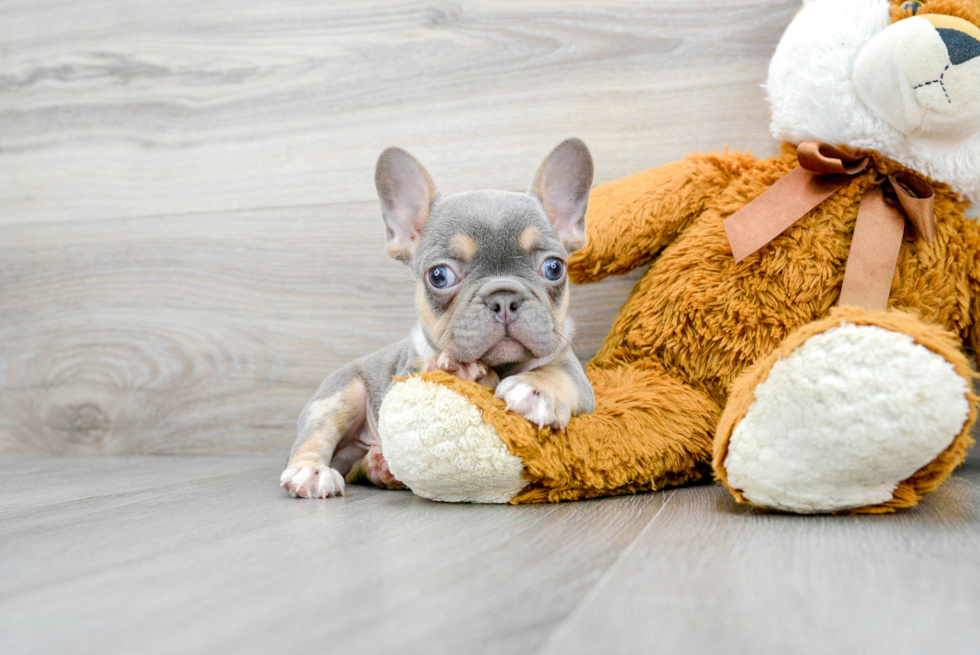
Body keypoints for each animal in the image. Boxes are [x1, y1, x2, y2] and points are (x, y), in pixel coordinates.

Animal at [280, 137, 592, 498]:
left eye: (554, 267)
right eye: (439, 276)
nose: (503, 297)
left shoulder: (576, 374)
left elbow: (559, 374)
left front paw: (537, 387)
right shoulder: (407, 373)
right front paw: (462, 371)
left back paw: (380, 469)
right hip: (340, 395)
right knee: (313, 438)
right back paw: (311, 471)